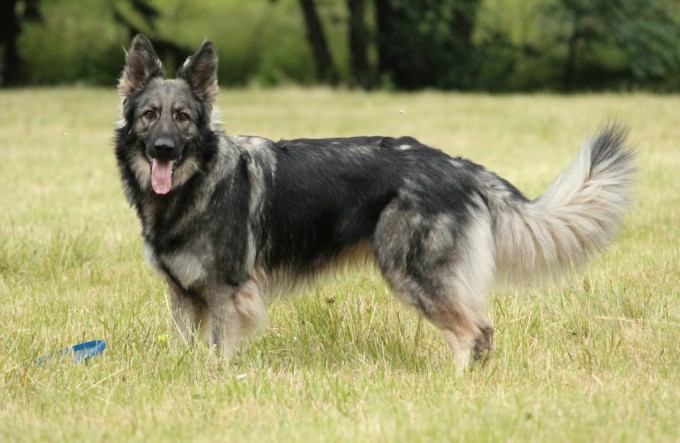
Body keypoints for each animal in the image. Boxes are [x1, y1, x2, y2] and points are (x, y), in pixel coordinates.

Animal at [114, 35, 636, 372]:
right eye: (149, 115)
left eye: (183, 117)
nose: (163, 149)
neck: (194, 186)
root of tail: (458, 167)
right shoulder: (184, 296)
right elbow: (185, 349)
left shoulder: (228, 292)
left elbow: (219, 352)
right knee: (484, 331)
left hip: (412, 272)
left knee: (471, 332)